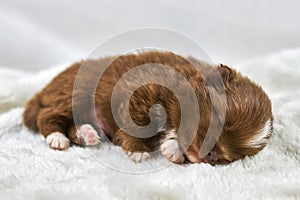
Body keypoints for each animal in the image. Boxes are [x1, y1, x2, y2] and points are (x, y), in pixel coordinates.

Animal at [22, 50, 274, 165]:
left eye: (229, 157)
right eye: (219, 120)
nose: (209, 154)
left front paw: (173, 148)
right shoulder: (140, 91)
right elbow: (139, 122)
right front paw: (138, 150)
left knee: (72, 125)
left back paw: (87, 134)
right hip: (75, 93)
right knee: (46, 116)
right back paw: (57, 138)